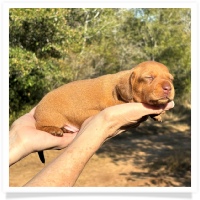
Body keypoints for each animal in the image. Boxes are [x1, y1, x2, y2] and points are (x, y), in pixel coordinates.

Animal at [33, 60, 174, 162]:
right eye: (149, 77)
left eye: (171, 79)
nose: (168, 88)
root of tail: (36, 111)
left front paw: (158, 115)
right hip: (51, 116)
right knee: (39, 126)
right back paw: (54, 130)